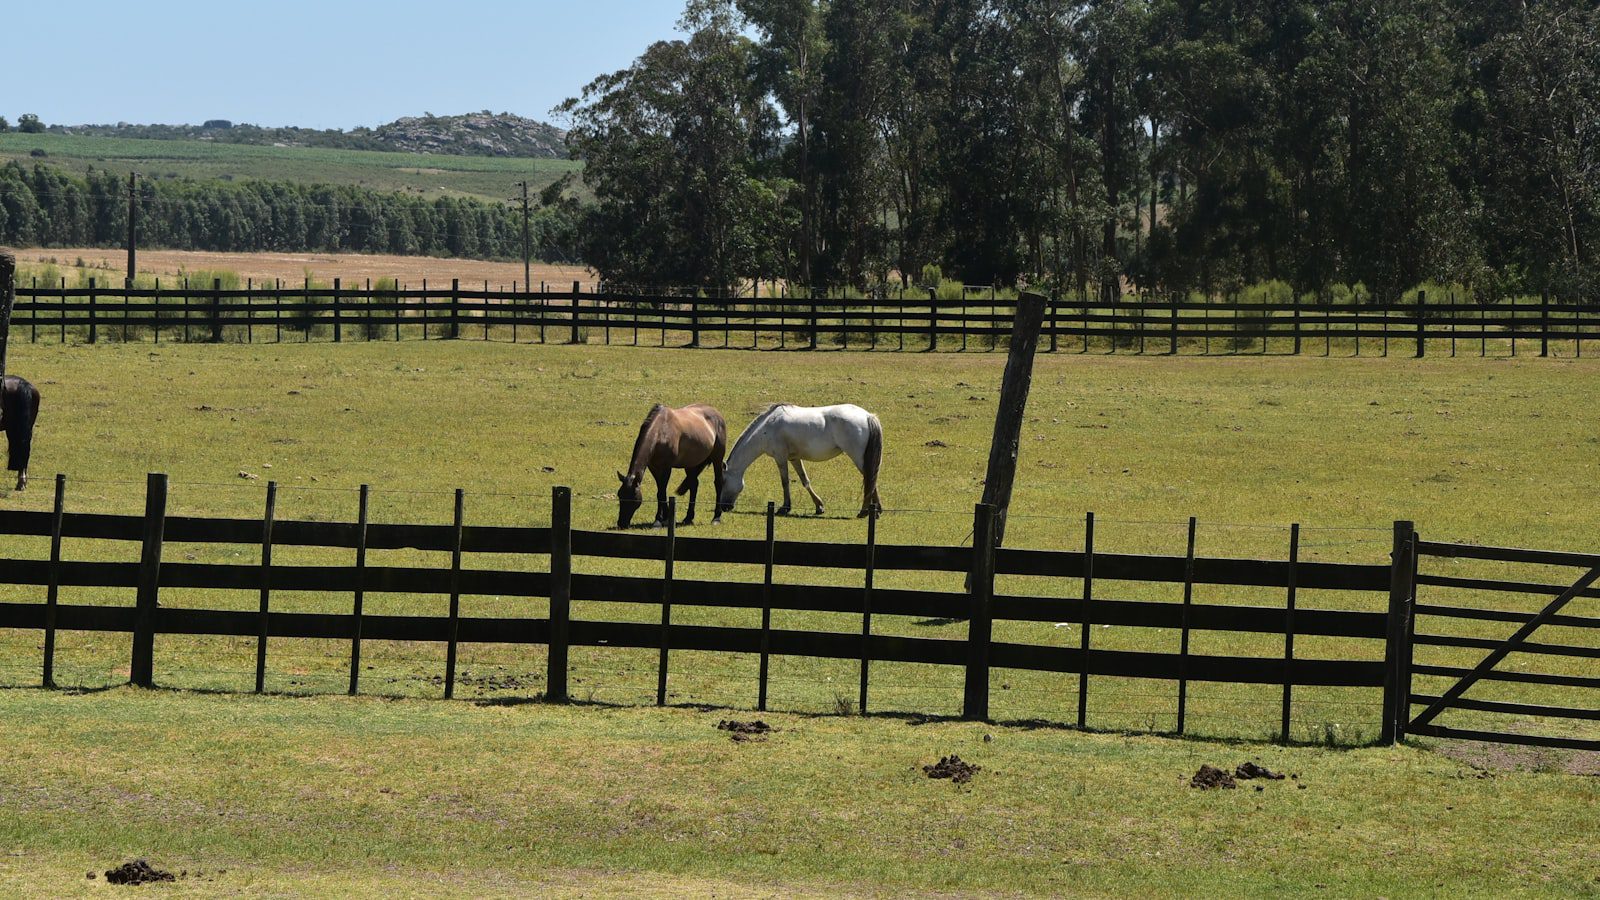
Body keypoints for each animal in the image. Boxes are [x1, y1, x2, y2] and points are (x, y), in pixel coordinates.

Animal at [720, 400, 883, 515]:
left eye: (723, 482)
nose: (724, 507)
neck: (767, 427)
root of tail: (867, 415)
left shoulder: (780, 458)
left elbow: (785, 482)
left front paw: (785, 507)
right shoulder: (794, 458)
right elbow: (805, 481)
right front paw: (819, 506)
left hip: (858, 458)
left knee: (870, 478)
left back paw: (864, 512)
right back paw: (876, 511)